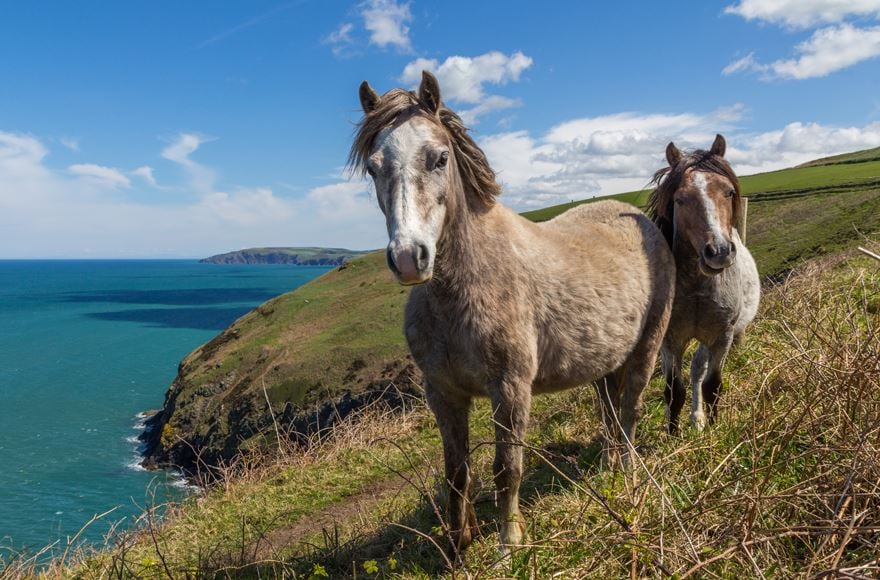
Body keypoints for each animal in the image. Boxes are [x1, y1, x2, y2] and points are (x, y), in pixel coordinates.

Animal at [348, 72, 672, 556]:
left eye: (439, 157)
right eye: (374, 167)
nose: (408, 258)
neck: (460, 292)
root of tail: (638, 217)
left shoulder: (510, 388)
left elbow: (507, 468)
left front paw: (508, 546)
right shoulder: (444, 394)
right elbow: (456, 472)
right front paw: (458, 546)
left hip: (646, 349)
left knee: (630, 411)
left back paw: (630, 474)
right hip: (602, 364)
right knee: (610, 413)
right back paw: (609, 468)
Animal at [648, 136, 760, 432]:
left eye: (729, 192)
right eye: (680, 199)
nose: (718, 252)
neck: (697, 288)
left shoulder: (722, 337)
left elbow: (712, 385)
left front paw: (715, 427)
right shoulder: (671, 341)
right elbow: (674, 391)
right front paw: (672, 435)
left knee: (698, 369)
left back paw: (698, 418)